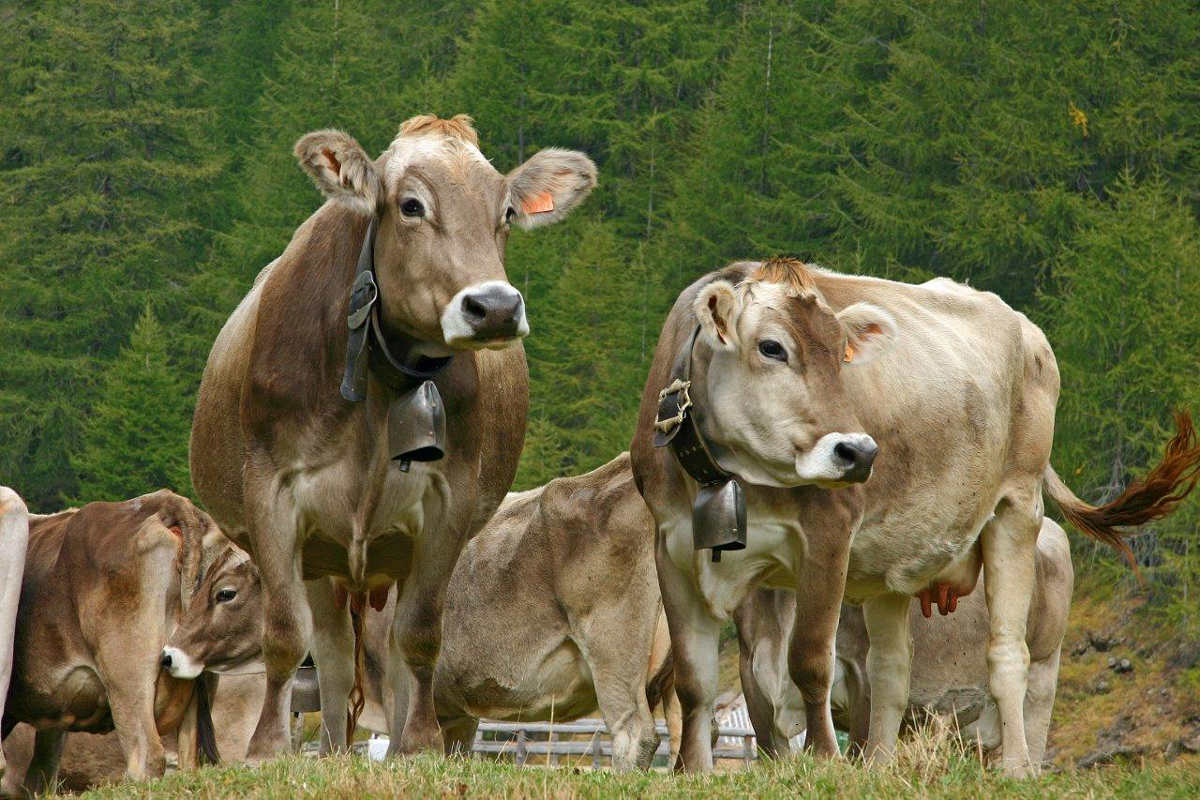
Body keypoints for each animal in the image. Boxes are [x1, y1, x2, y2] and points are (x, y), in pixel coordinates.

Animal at [1, 489, 222, 796]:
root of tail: (165, 501)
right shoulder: (56, 714)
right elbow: (43, 772)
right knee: (190, 765)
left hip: (128, 680)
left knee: (146, 756)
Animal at [189, 112, 597, 758]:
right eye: (410, 205)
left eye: (507, 211)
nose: (495, 307)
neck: (380, 385)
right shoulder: (271, 494)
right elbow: (285, 633)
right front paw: (267, 747)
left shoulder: (449, 501)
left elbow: (422, 634)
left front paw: (420, 743)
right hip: (321, 560)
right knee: (331, 655)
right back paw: (331, 747)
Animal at [734, 515, 1075, 767]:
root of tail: (1052, 528)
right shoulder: (751, 675)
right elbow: (770, 752)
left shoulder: (862, 674)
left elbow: (859, 749)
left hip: (1043, 671)